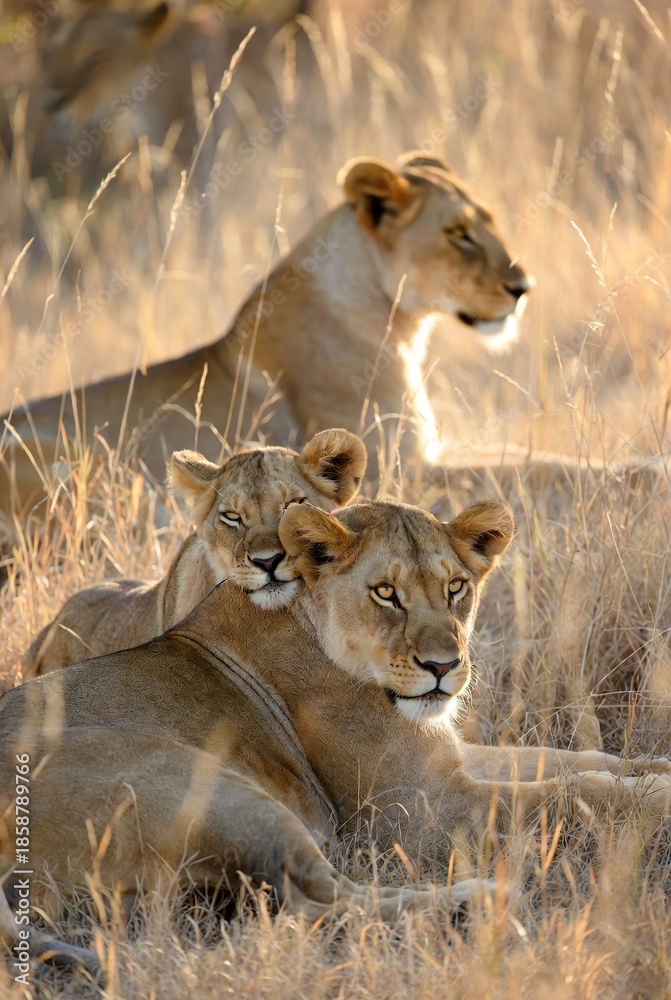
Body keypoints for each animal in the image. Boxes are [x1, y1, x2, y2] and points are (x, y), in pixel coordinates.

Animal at [0, 152, 531, 518]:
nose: (524, 288)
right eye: (458, 233)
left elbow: (519, 454)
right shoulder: (399, 469)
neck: (399, 322)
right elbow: (529, 469)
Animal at [1, 497, 669, 968]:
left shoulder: (447, 760)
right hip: (203, 784)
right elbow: (572, 795)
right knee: (314, 907)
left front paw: (651, 769)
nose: (444, 667)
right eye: (386, 593)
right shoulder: (422, 810)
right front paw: (655, 800)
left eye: (456, 587)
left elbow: (569, 760)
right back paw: (479, 902)